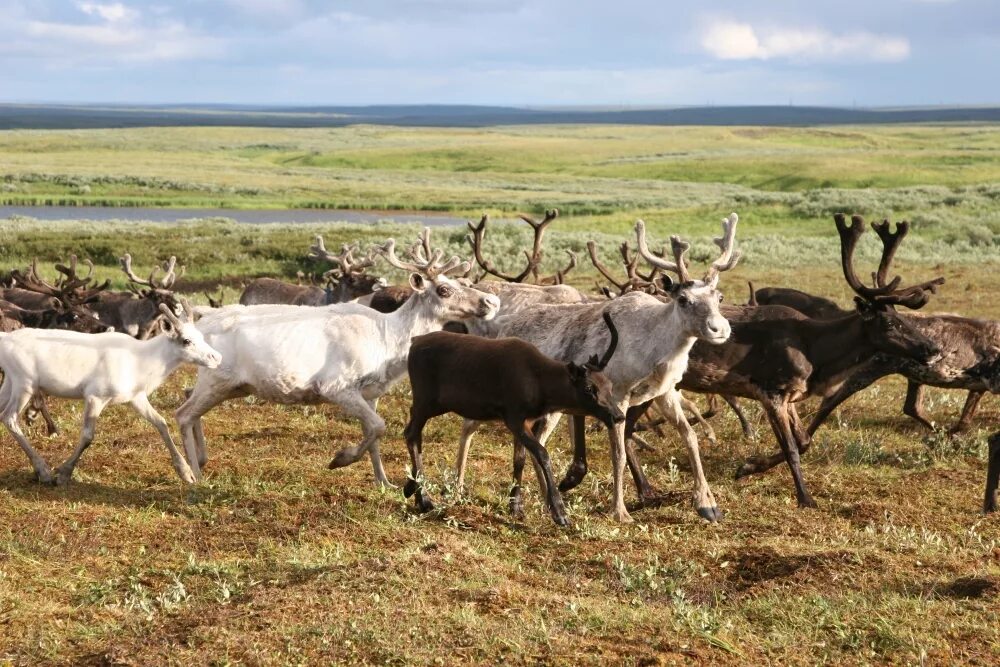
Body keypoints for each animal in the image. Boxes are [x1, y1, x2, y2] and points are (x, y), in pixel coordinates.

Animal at [400, 314, 620, 528]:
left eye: (610, 385)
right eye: (589, 388)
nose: (618, 416)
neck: (542, 386)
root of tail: (414, 342)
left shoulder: (526, 422)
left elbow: (519, 460)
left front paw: (515, 506)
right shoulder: (514, 418)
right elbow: (543, 454)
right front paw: (560, 513)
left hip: (433, 405)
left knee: (413, 433)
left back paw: (411, 488)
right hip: (425, 400)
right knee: (411, 434)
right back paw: (424, 499)